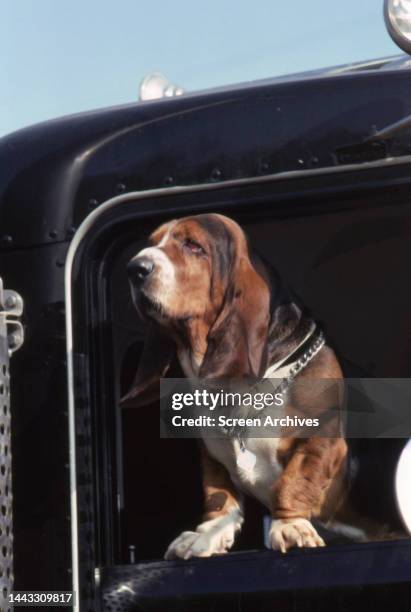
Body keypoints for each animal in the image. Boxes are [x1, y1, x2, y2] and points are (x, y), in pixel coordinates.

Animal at [123, 214, 376, 560]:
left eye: (193, 246)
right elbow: (219, 496)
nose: (135, 268)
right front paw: (205, 536)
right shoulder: (212, 458)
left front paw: (290, 526)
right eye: (152, 241)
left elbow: (293, 482)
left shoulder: (321, 441)